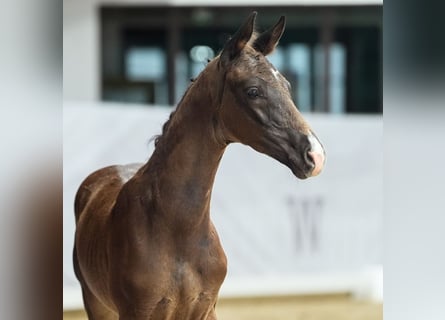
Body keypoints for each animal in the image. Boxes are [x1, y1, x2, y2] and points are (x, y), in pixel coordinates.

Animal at [73, 12, 326, 320]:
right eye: (253, 91)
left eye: (287, 86)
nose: (315, 155)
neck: (179, 229)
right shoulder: (136, 312)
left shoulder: (205, 309)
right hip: (97, 304)